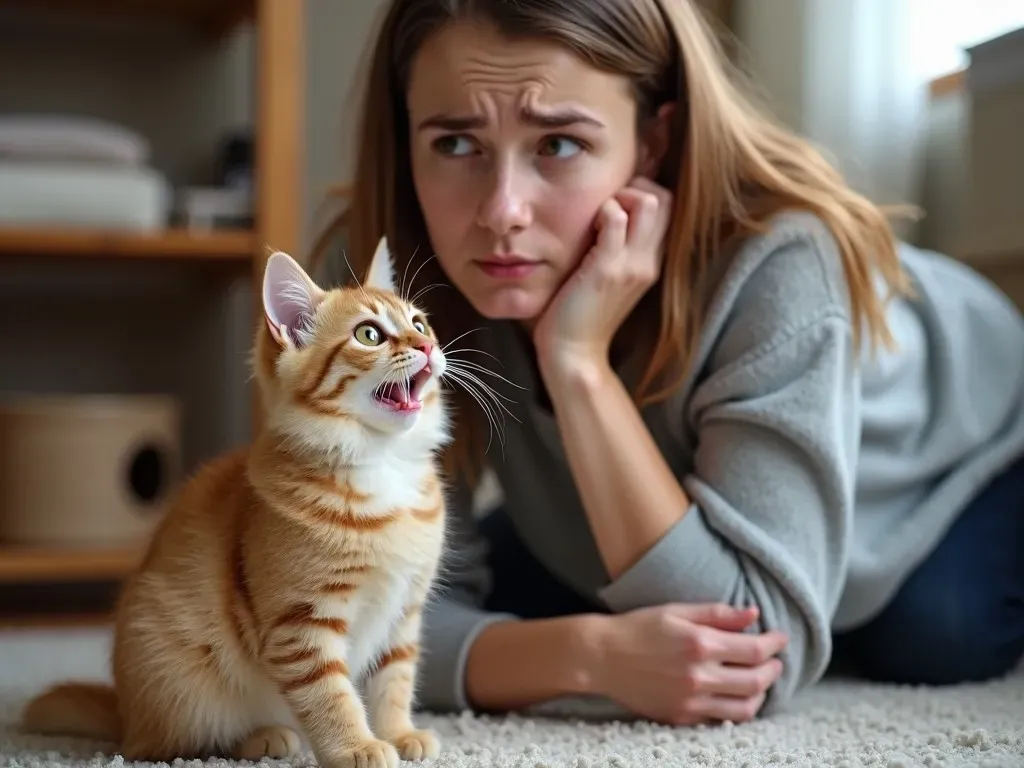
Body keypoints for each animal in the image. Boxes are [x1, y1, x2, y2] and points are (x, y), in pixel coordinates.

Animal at [18, 239, 452, 768]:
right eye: (369, 334)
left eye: (420, 324)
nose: (427, 348)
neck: (382, 464)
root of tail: (127, 715)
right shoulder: (301, 625)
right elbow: (331, 696)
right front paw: (357, 746)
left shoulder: (404, 613)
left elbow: (394, 679)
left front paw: (399, 733)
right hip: (180, 685)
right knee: (176, 745)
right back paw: (263, 737)